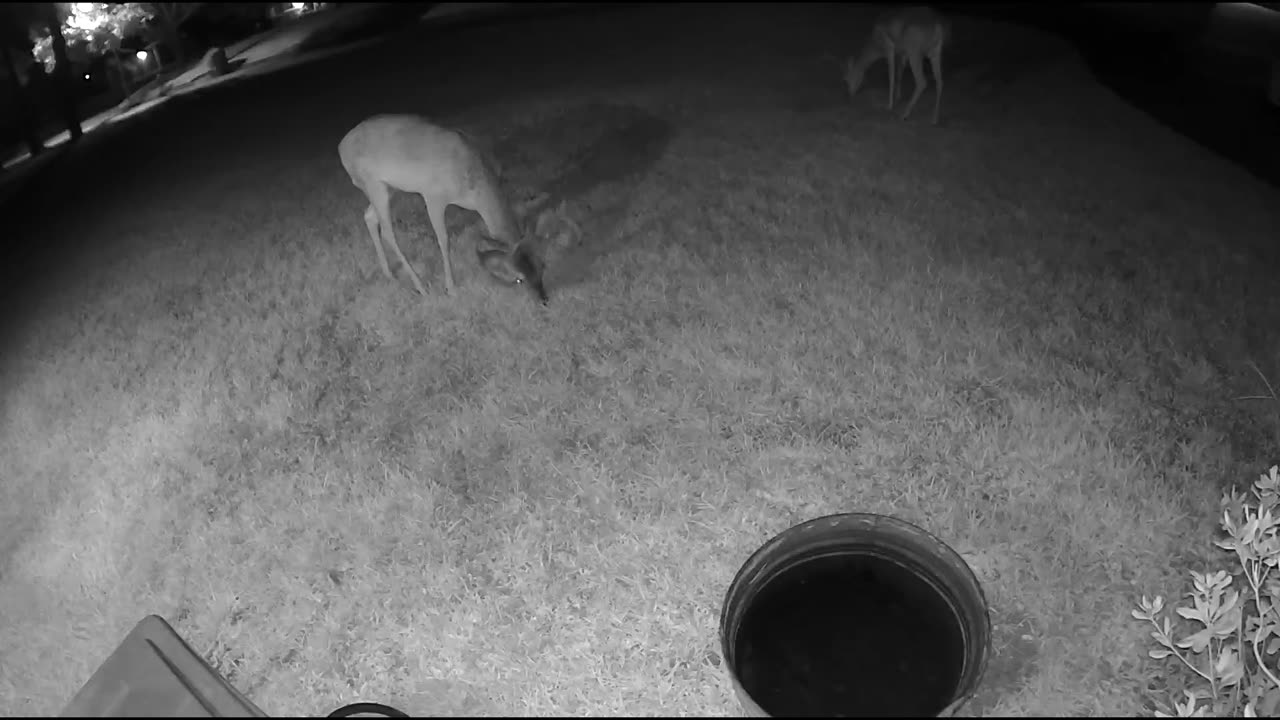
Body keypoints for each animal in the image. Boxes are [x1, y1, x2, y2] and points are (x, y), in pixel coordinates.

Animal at [337, 114, 581, 304]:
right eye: (518, 278)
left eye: (543, 264)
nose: (544, 299)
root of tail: (341, 147)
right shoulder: (433, 195)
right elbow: (444, 240)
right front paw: (451, 288)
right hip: (374, 184)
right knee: (388, 231)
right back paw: (421, 287)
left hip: (390, 188)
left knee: (369, 217)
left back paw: (389, 274)